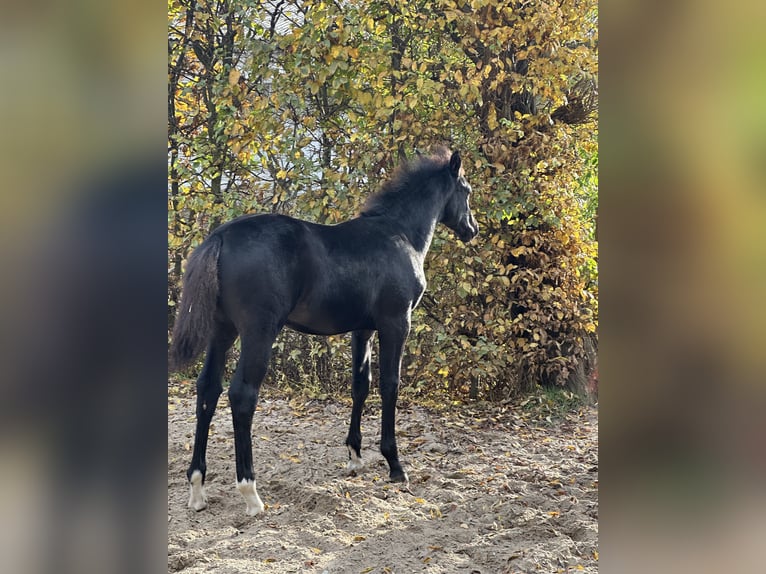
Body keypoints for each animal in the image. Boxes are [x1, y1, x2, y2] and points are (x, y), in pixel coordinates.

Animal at [169, 147, 478, 515]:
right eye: (466, 190)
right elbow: (390, 385)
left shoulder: (363, 330)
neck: (398, 235)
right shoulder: (396, 322)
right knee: (242, 395)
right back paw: (251, 493)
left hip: (222, 331)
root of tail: (219, 237)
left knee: (207, 390)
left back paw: (197, 488)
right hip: (258, 332)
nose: (472, 229)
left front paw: (355, 457)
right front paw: (395, 465)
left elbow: (361, 385)